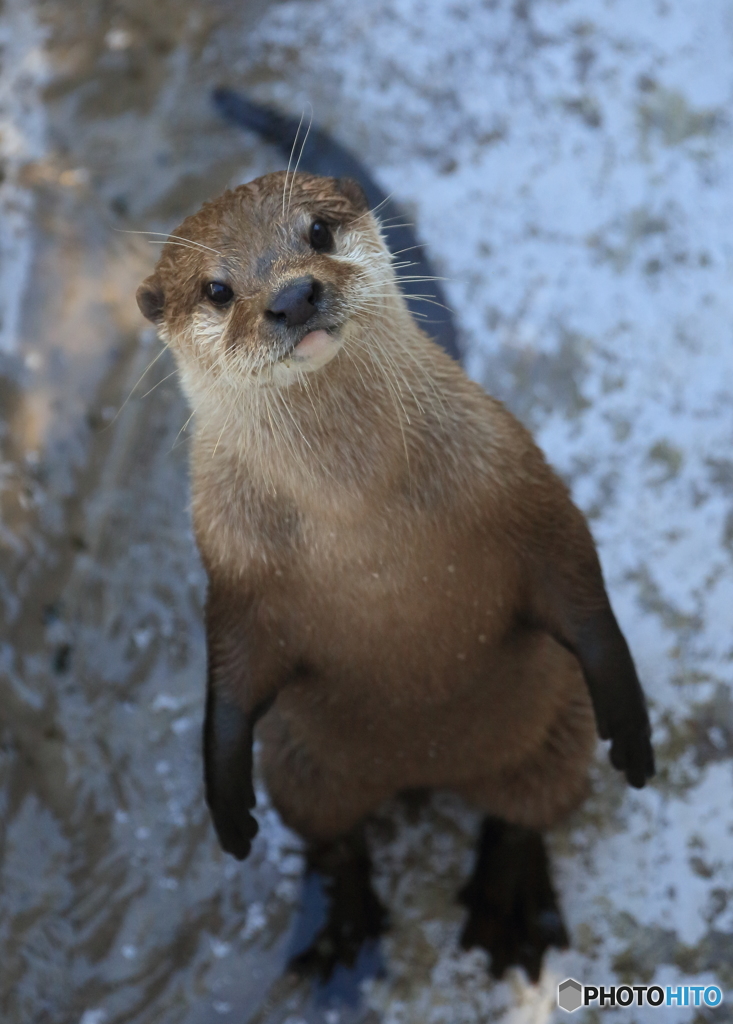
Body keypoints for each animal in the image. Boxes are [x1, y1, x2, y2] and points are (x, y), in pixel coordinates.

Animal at [136, 172, 651, 987]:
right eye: (216, 289)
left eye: (318, 231)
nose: (293, 296)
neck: (361, 519)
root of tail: (428, 769)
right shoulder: (233, 569)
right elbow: (229, 679)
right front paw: (227, 807)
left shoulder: (518, 479)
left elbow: (580, 585)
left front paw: (631, 724)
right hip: (301, 766)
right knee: (332, 835)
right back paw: (341, 935)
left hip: (556, 727)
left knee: (527, 811)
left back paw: (509, 909)